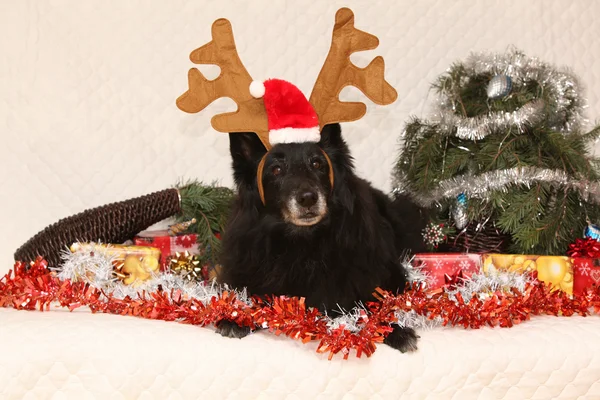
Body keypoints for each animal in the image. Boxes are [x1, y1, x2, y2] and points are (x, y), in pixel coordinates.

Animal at [216, 123, 426, 352]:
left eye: (317, 163)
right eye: (276, 169)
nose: (308, 198)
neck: (303, 244)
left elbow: (381, 303)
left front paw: (395, 328)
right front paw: (235, 318)